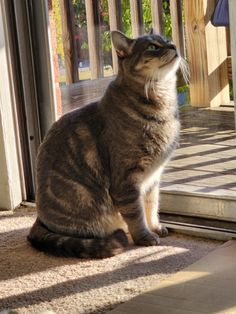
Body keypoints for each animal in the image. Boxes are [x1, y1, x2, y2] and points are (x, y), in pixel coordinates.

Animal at [28, 30, 183, 258]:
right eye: (153, 47)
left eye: (167, 40)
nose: (174, 46)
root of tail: (39, 220)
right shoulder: (126, 181)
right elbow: (136, 215)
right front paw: (145, 237)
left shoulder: (153, 178)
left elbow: (151, 206)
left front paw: (155, 227)